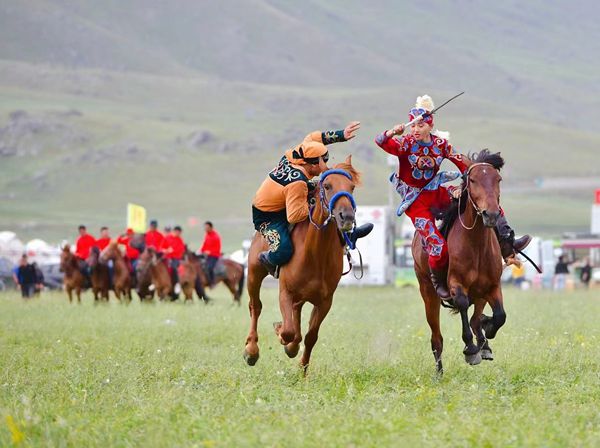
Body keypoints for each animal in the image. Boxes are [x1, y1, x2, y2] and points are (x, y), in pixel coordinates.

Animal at [244, 156, 360, 372]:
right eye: (328, 186)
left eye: (352, 187)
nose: (347, 217)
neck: (315, 255)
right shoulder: (285, 293)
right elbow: (288, 331)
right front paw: (282, 335)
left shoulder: (325, 301)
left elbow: (310, 336)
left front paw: (301, 367)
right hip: (254, 273)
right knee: (255, 306)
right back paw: (251, 350)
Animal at [414, 151, 508, 374]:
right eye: (472, 180)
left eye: (498, 179)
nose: (491, 214)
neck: (476, 244)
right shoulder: (457, 285)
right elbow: (463, 305)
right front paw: (471, 349)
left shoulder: (493, 285)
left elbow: (500, 315)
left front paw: (487, 330)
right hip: (428, 292)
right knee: (437, 339)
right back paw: (439, 373)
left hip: (480, 292)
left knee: (475, 318)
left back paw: (484, 342)